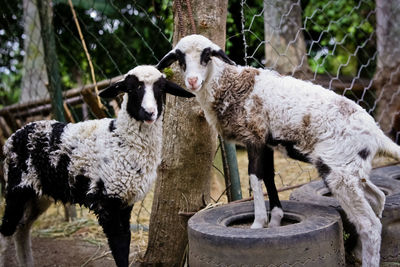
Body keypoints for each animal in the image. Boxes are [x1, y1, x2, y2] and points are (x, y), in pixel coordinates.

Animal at [0, 65, 194, 267]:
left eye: (161, 88)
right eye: (131, 88)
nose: (149, 113)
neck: (121, 137)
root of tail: (15, 135)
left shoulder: (125, 201)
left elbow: (125, 240)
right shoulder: (108, 200)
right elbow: (119, 246)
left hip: (39, 194)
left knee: (22, 229)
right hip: (17, 188)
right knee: (6, 232)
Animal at [156, 34, 400, 266]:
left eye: (207, 56)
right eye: (179, 58)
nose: (192, 81)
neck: (227, 84)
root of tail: (377, 134)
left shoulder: (254, 136)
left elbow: (255, 177)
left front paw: (258, 224)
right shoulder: (267, 143)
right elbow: (269, 177)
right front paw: (275, 220)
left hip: (339, 171)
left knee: (369, 225)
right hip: (351, 168)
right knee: (378, 198)